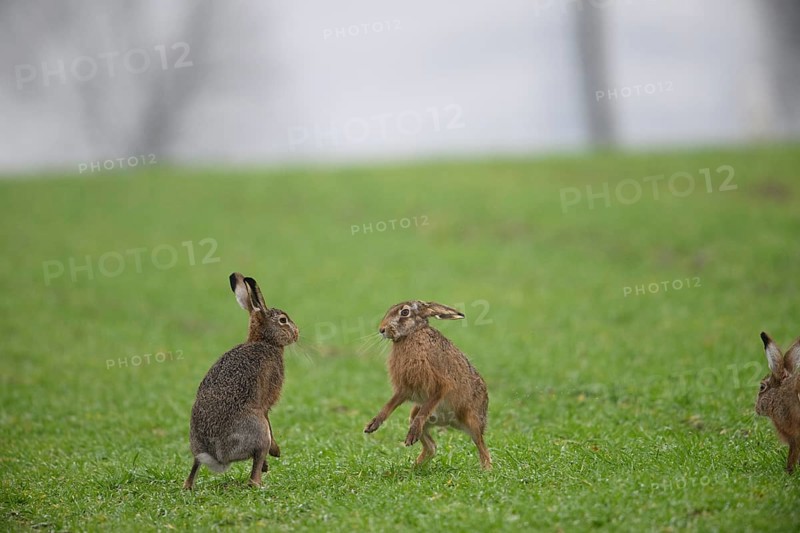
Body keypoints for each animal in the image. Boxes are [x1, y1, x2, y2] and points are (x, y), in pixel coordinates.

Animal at [183, 272, 299, 489]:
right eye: (283, 320)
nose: (296, 333)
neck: (264, 341)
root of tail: (218, 456)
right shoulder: (266, 402)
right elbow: (269, 418)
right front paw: (276, 451)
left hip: (196, 446)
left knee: (194, 466)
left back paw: (188, 486)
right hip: (258, 430)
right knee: (256, 465)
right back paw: (261, 481)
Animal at [364, 300, 492, 470]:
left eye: (404, 312)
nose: (382, 330)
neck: (413, 334)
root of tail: (450, 423)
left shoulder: (441, 385)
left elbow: (431, 401)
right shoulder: (405, 388)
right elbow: (391, 404)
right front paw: (372, 425)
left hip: (472, 420)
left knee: (482, 446)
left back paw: (487, 470)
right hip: (418, 415)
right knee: (431, 446)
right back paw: (413, 467)